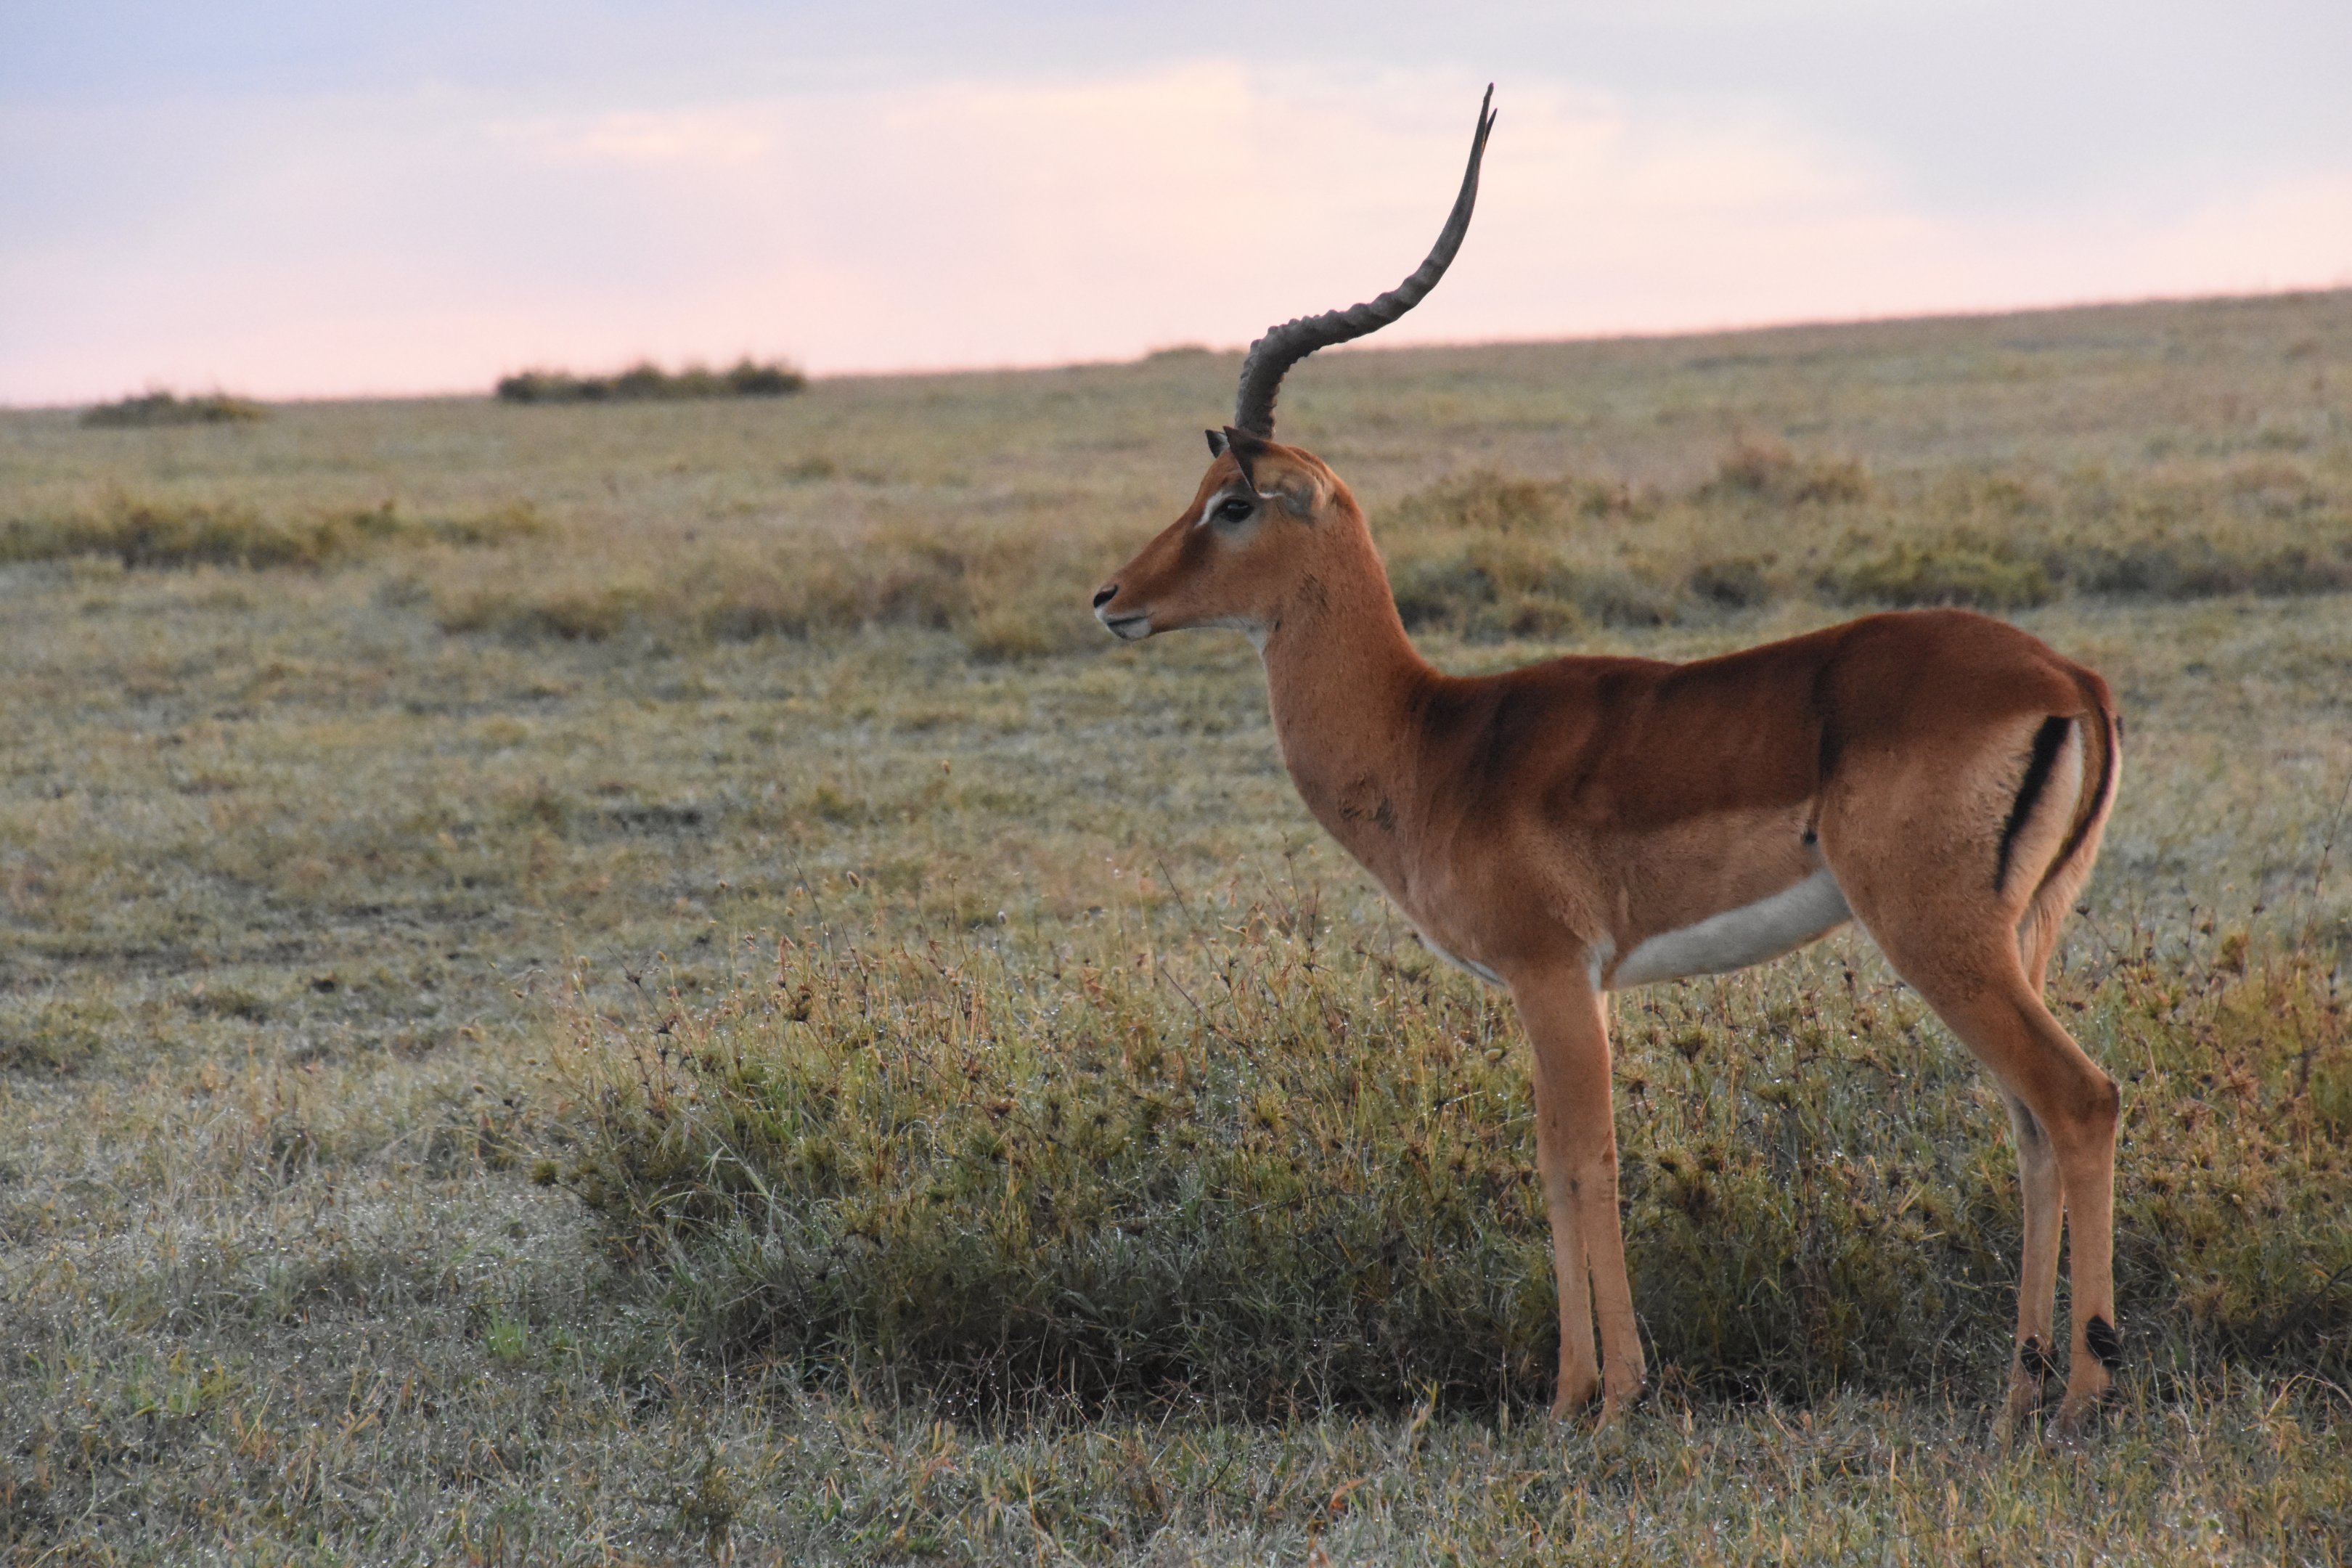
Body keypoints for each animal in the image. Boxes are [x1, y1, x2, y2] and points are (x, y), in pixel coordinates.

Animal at [1091, 89, 2124, 1439]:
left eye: (1232, 503)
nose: (1111, 599)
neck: (1432, 741)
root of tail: (2066, 677)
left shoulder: (1552, 973)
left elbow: (1579, 1156)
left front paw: (1598, 1393)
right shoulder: (1574, 985)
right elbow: (1563, 1160)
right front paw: (1584, 1386)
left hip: (1936, 934)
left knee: (2078, 1100)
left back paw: (2087, 1393)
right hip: (2018, 936)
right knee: (2031, 1123)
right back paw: (2020, 1389)